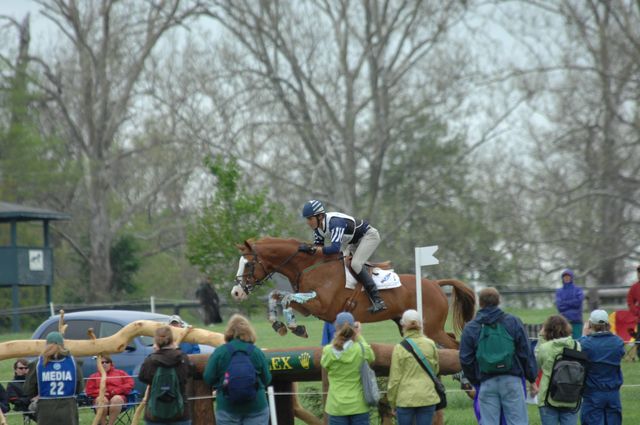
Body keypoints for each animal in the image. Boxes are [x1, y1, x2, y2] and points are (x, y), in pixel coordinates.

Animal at [231, 235, 476, 348]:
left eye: (249, 264)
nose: (236, 293)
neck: (308, 266)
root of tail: (435, 284)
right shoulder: (309, 308)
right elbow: (277, 297)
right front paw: (280, 325)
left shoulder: (322, 306)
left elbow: (287, 299)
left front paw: (294, 327)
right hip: (412, 324)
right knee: (450, 340)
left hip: (431, 327)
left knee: (454, 345)